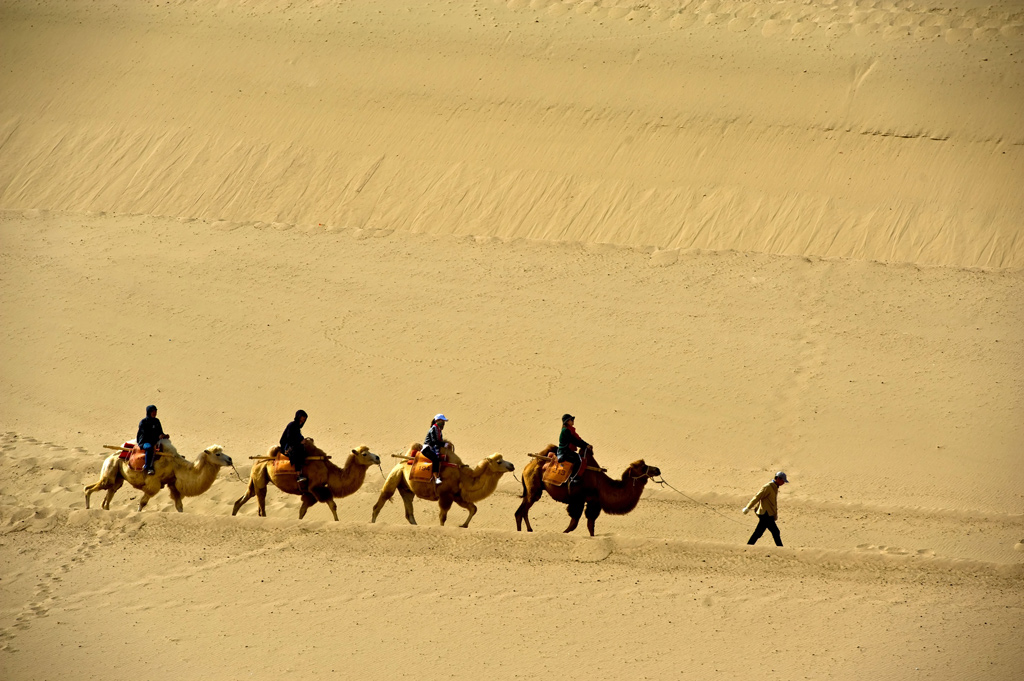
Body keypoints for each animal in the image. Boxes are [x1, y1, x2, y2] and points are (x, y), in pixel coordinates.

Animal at [84, 440, 234, 509]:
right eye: (218, 454)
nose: (230, 459)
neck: (177, 466)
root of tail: (111, 456)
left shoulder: (172, 484)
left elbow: (179, 505)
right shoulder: (153, 484)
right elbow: (142, 503)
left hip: (118, 478)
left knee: (108, 494)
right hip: (110, 471)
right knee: (89, 489)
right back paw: (87, 507)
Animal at [230, 440, 382, 520]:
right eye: (364, 454)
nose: (378, 458)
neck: (329, 470)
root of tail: (258, 460)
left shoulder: (310, 493)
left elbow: (302, 510)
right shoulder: (316, 488)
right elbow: (333, 505)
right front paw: (337, 522)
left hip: (255, 478)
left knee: (244, 497)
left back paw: (233, 515)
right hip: (260, 479)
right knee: (261, 503)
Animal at [370, 444, 516, 528]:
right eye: (499, 461)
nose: (512, 465)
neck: (463, 476)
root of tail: (402, 461)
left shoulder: (457, 496)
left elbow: (473, 508)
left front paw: (463, 525)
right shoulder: (446, 495)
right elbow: (443, 516)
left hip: (406, 487)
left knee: (409, 509)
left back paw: (415, 525)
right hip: (395, 475)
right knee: (383, 498)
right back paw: (372, 522)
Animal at [512, 446, 663, 536]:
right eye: (643, 467)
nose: (657, 469)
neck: (601, 485)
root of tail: (528, 465)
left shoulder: (593, 502)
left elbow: (590, 525)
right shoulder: (579, 500)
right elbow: (575, 523)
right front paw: (563, 533)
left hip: (533, 490)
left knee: (521, 511)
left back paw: (527, 531)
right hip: (534, 488)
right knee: (522, 511)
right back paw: (524, 531)